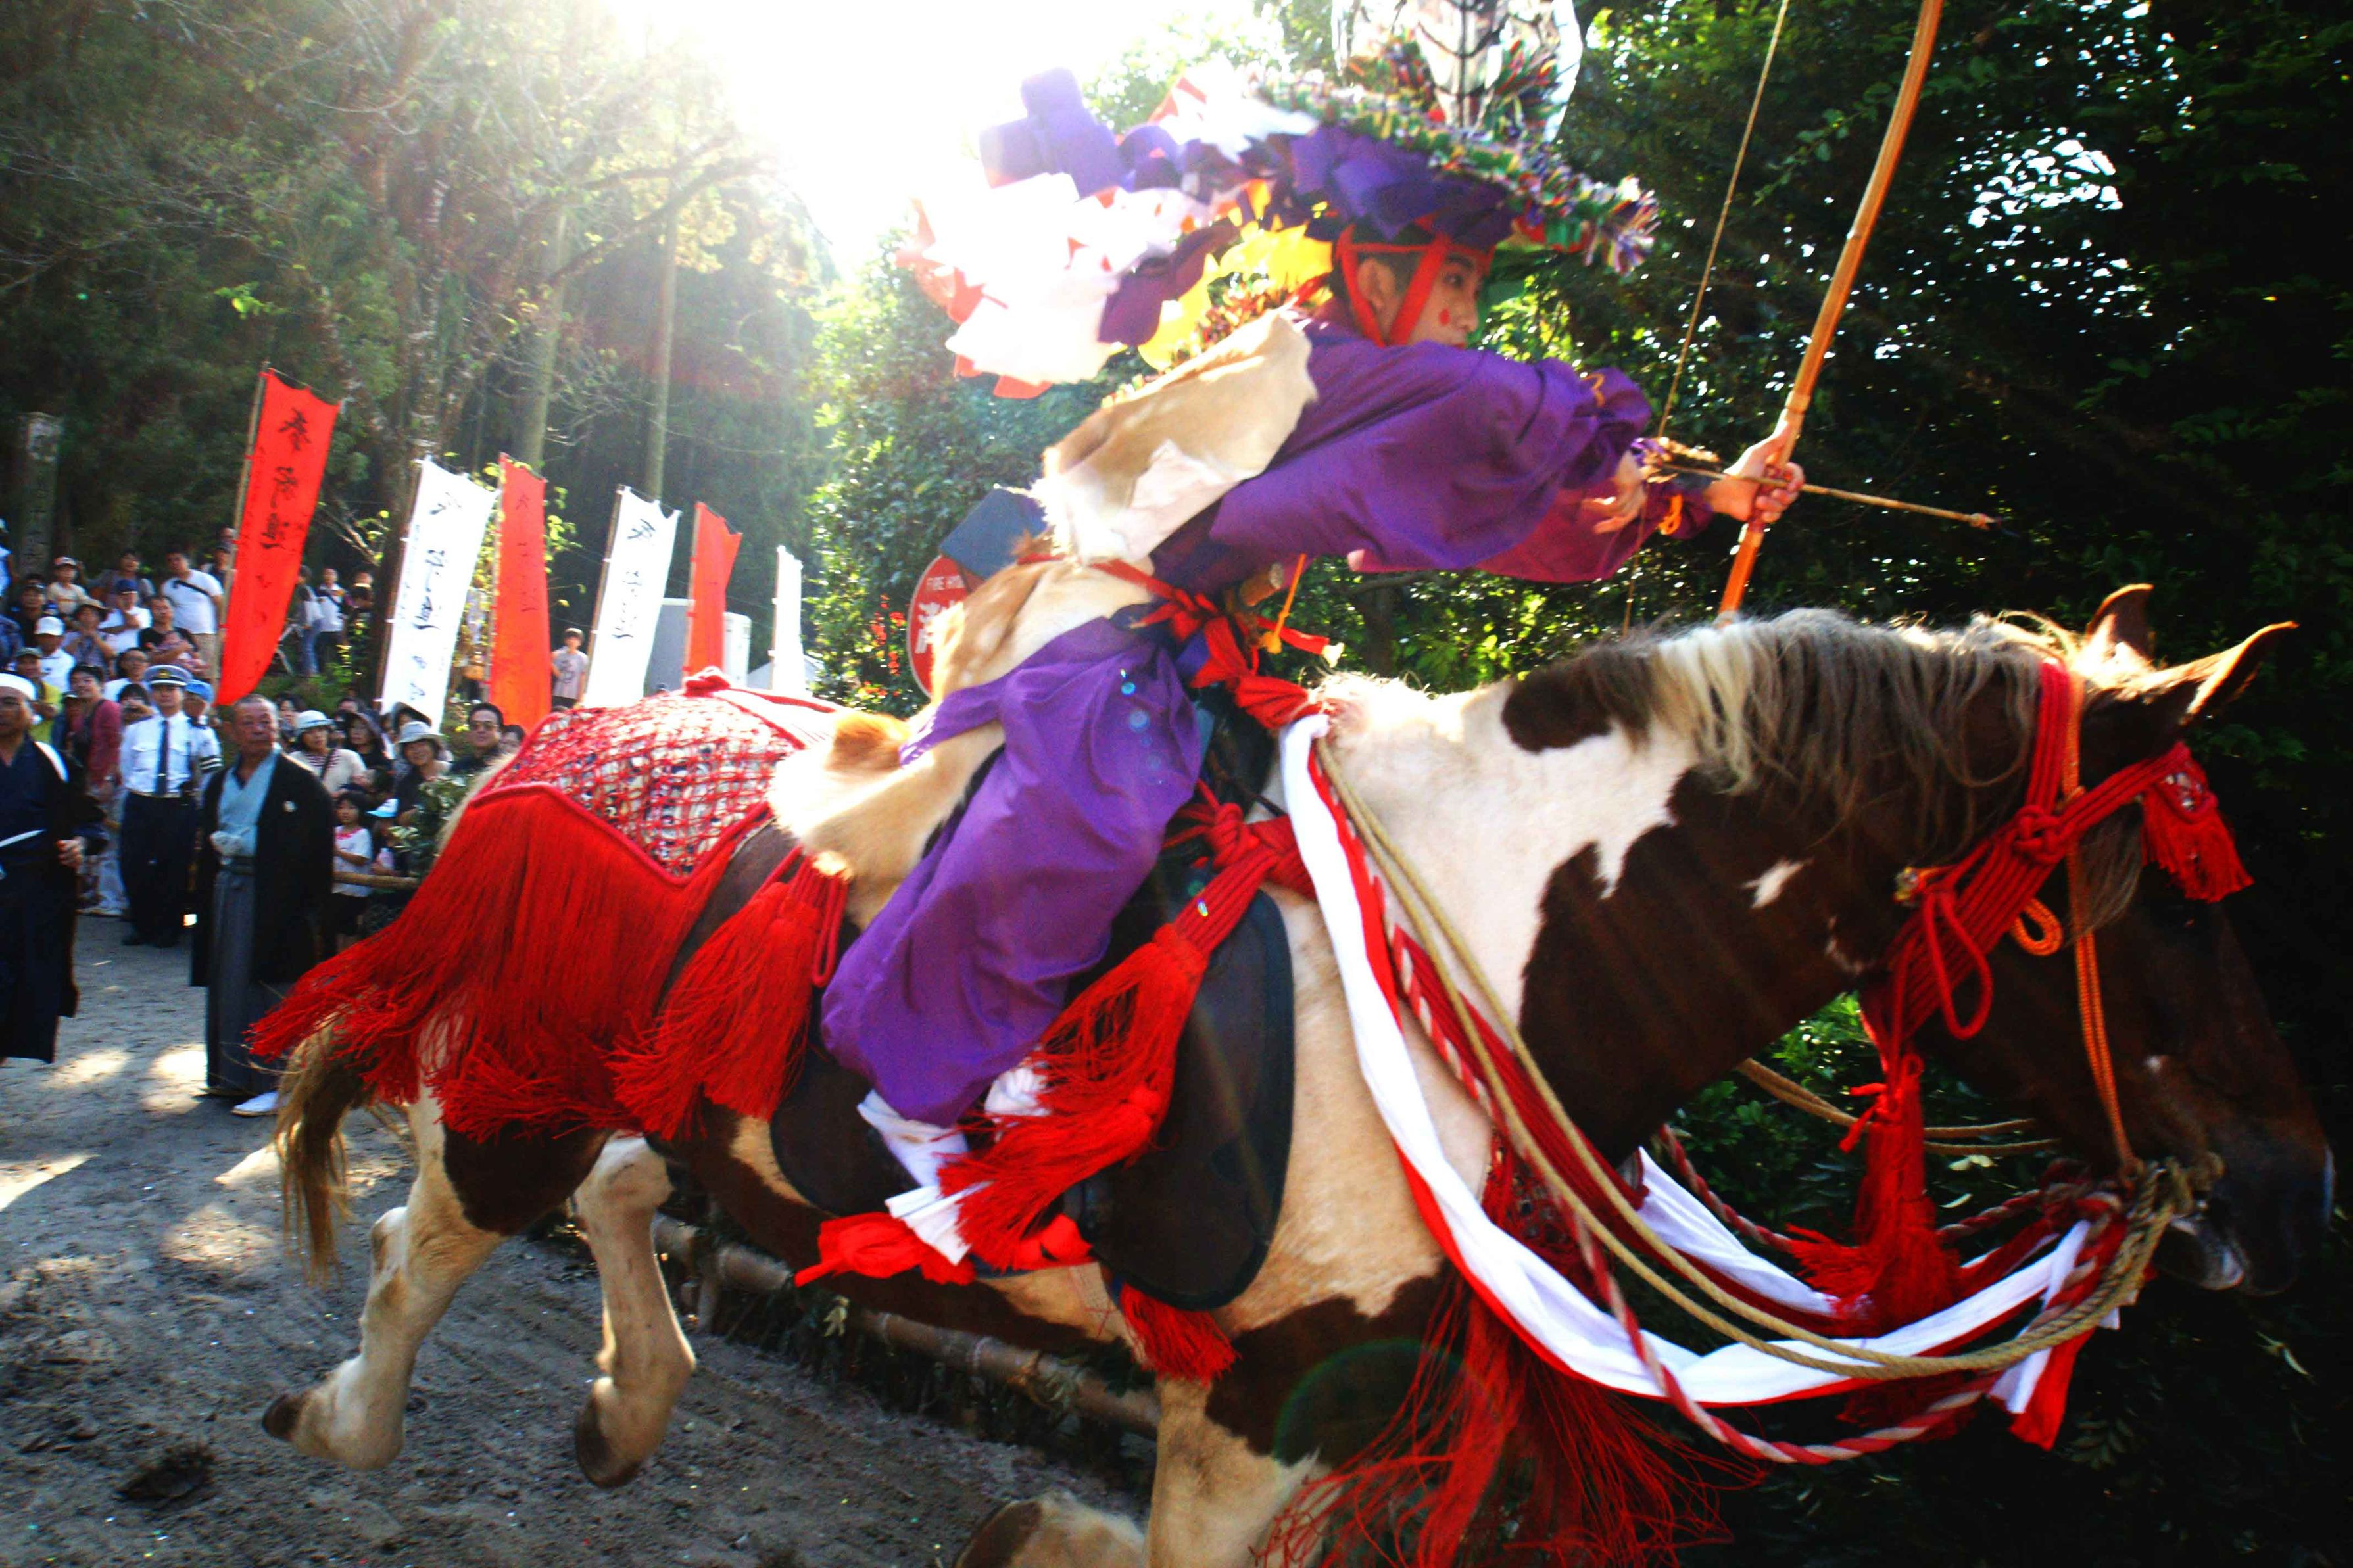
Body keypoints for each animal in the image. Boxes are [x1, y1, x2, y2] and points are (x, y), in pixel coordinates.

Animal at [260, 579, 2329, 1566]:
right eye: (2152, 907)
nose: (2295, 1186)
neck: (1488, 955)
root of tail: (567, 727)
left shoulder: (1350, 1398)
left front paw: (1029, 1528)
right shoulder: (1260, 1392)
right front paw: (1035, 1527)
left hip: (693, 1098)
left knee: (626, 1188)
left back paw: (632, 1400)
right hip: (528, 1070)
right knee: (435, 1244)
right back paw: (346, 1413)